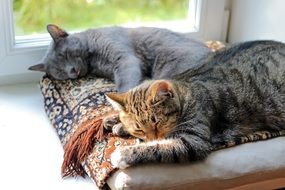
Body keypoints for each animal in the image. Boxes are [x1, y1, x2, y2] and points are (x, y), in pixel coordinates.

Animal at [28, 23, 210, 92]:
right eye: (59, 71)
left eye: (65, 55)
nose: (71, 71)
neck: (93, 60)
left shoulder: (124, 59)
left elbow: (124, 86)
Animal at [105, 40, 284, 169]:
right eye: (139, 129)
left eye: (157, 122)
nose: (152, 138)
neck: (187, 92)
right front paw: (116, 123)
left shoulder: (192, 140)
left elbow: (156, 148)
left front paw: (123, 154)